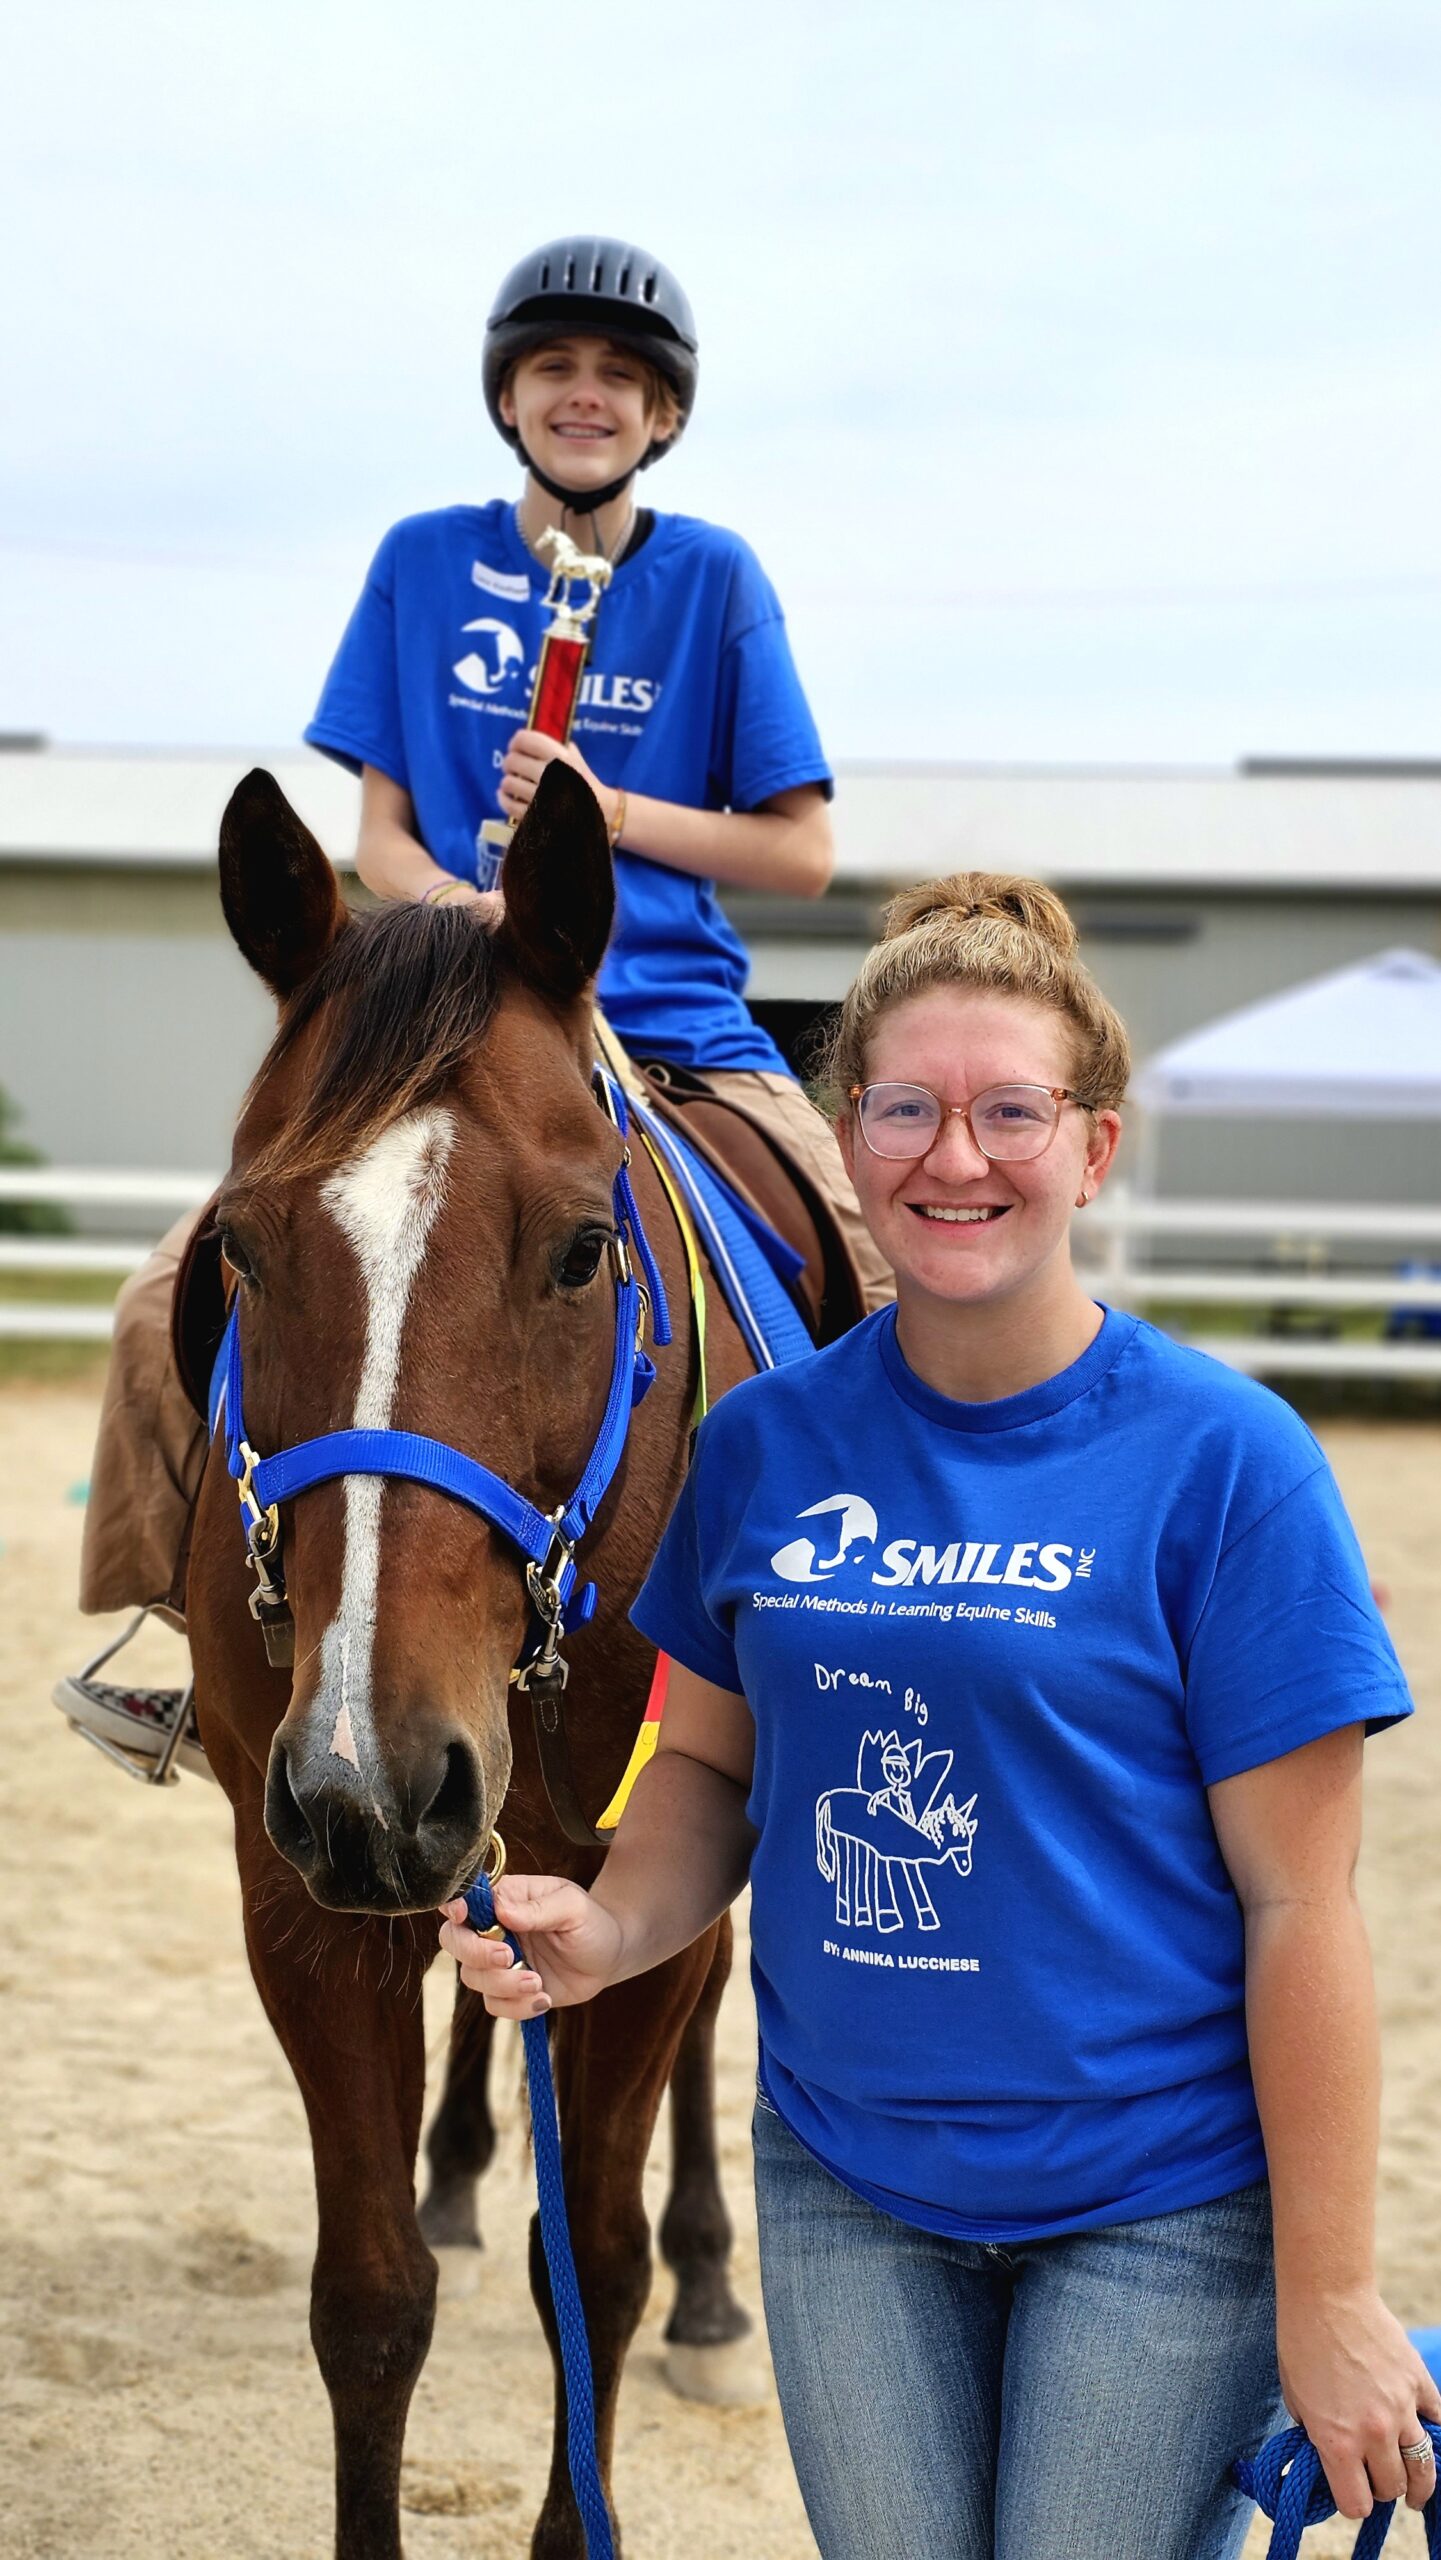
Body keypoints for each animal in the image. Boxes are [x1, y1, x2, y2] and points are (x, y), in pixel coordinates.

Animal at [186, 758, 815, 2558]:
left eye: (583, 1249)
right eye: (241, 1250)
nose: (374, 1776)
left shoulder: (634, 1899)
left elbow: (590, 2273)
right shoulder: (300, 1898)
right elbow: (370, 2298)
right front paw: (437, 2203)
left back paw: (713, 2290)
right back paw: (466, 2165)